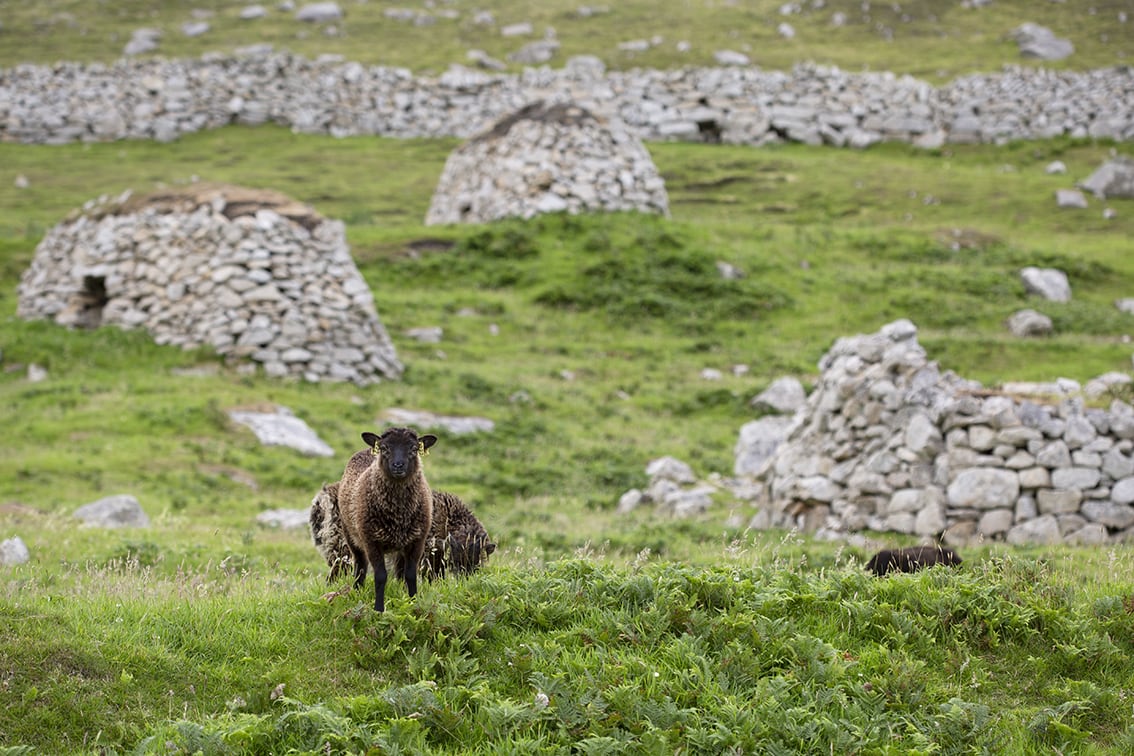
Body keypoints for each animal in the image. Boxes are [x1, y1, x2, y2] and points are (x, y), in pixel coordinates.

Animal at [331, 428, 433, 612]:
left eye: (414, 449)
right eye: (385, 448)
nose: (398, 465)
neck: (398, 515)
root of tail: (367, 449)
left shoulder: (418, 540)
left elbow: (410, 574)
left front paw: (413, 603)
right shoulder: (371, 540)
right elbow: (380, 576)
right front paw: (379, 609)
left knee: (400, 571)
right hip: (351, 534)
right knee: (360, 565)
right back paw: (357, 591)